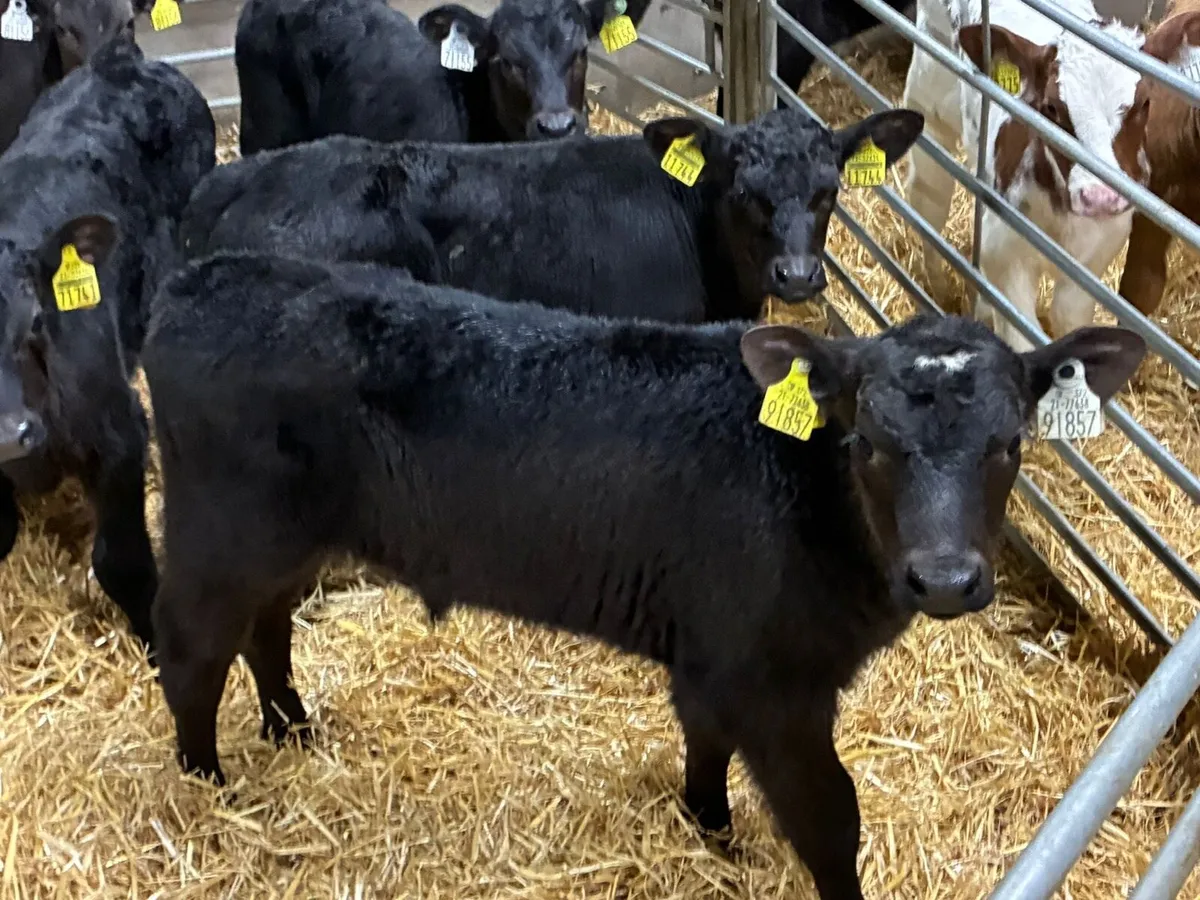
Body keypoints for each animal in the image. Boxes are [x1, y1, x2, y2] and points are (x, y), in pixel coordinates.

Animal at [143, 249, 1146, 900]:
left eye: (1010, 444)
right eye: (866, 443)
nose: (943, 578)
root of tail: (198, 277)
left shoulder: (713, 654)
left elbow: (702, 738)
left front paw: (710, 828)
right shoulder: (771, 683)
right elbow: (832, 818)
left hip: (290, 540)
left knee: (267, 628)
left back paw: (292, 729)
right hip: (218, 534)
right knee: (192, 651)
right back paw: (205, 784)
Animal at [902, 0, 1152, 351]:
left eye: (1144, 103)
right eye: (1051, 108)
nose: (1100, 197)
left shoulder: (1098, 254)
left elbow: (1069, 316)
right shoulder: (1005, 260)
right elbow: (1023, 337)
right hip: (930, 103)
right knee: (928, 204)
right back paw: (940, 289)